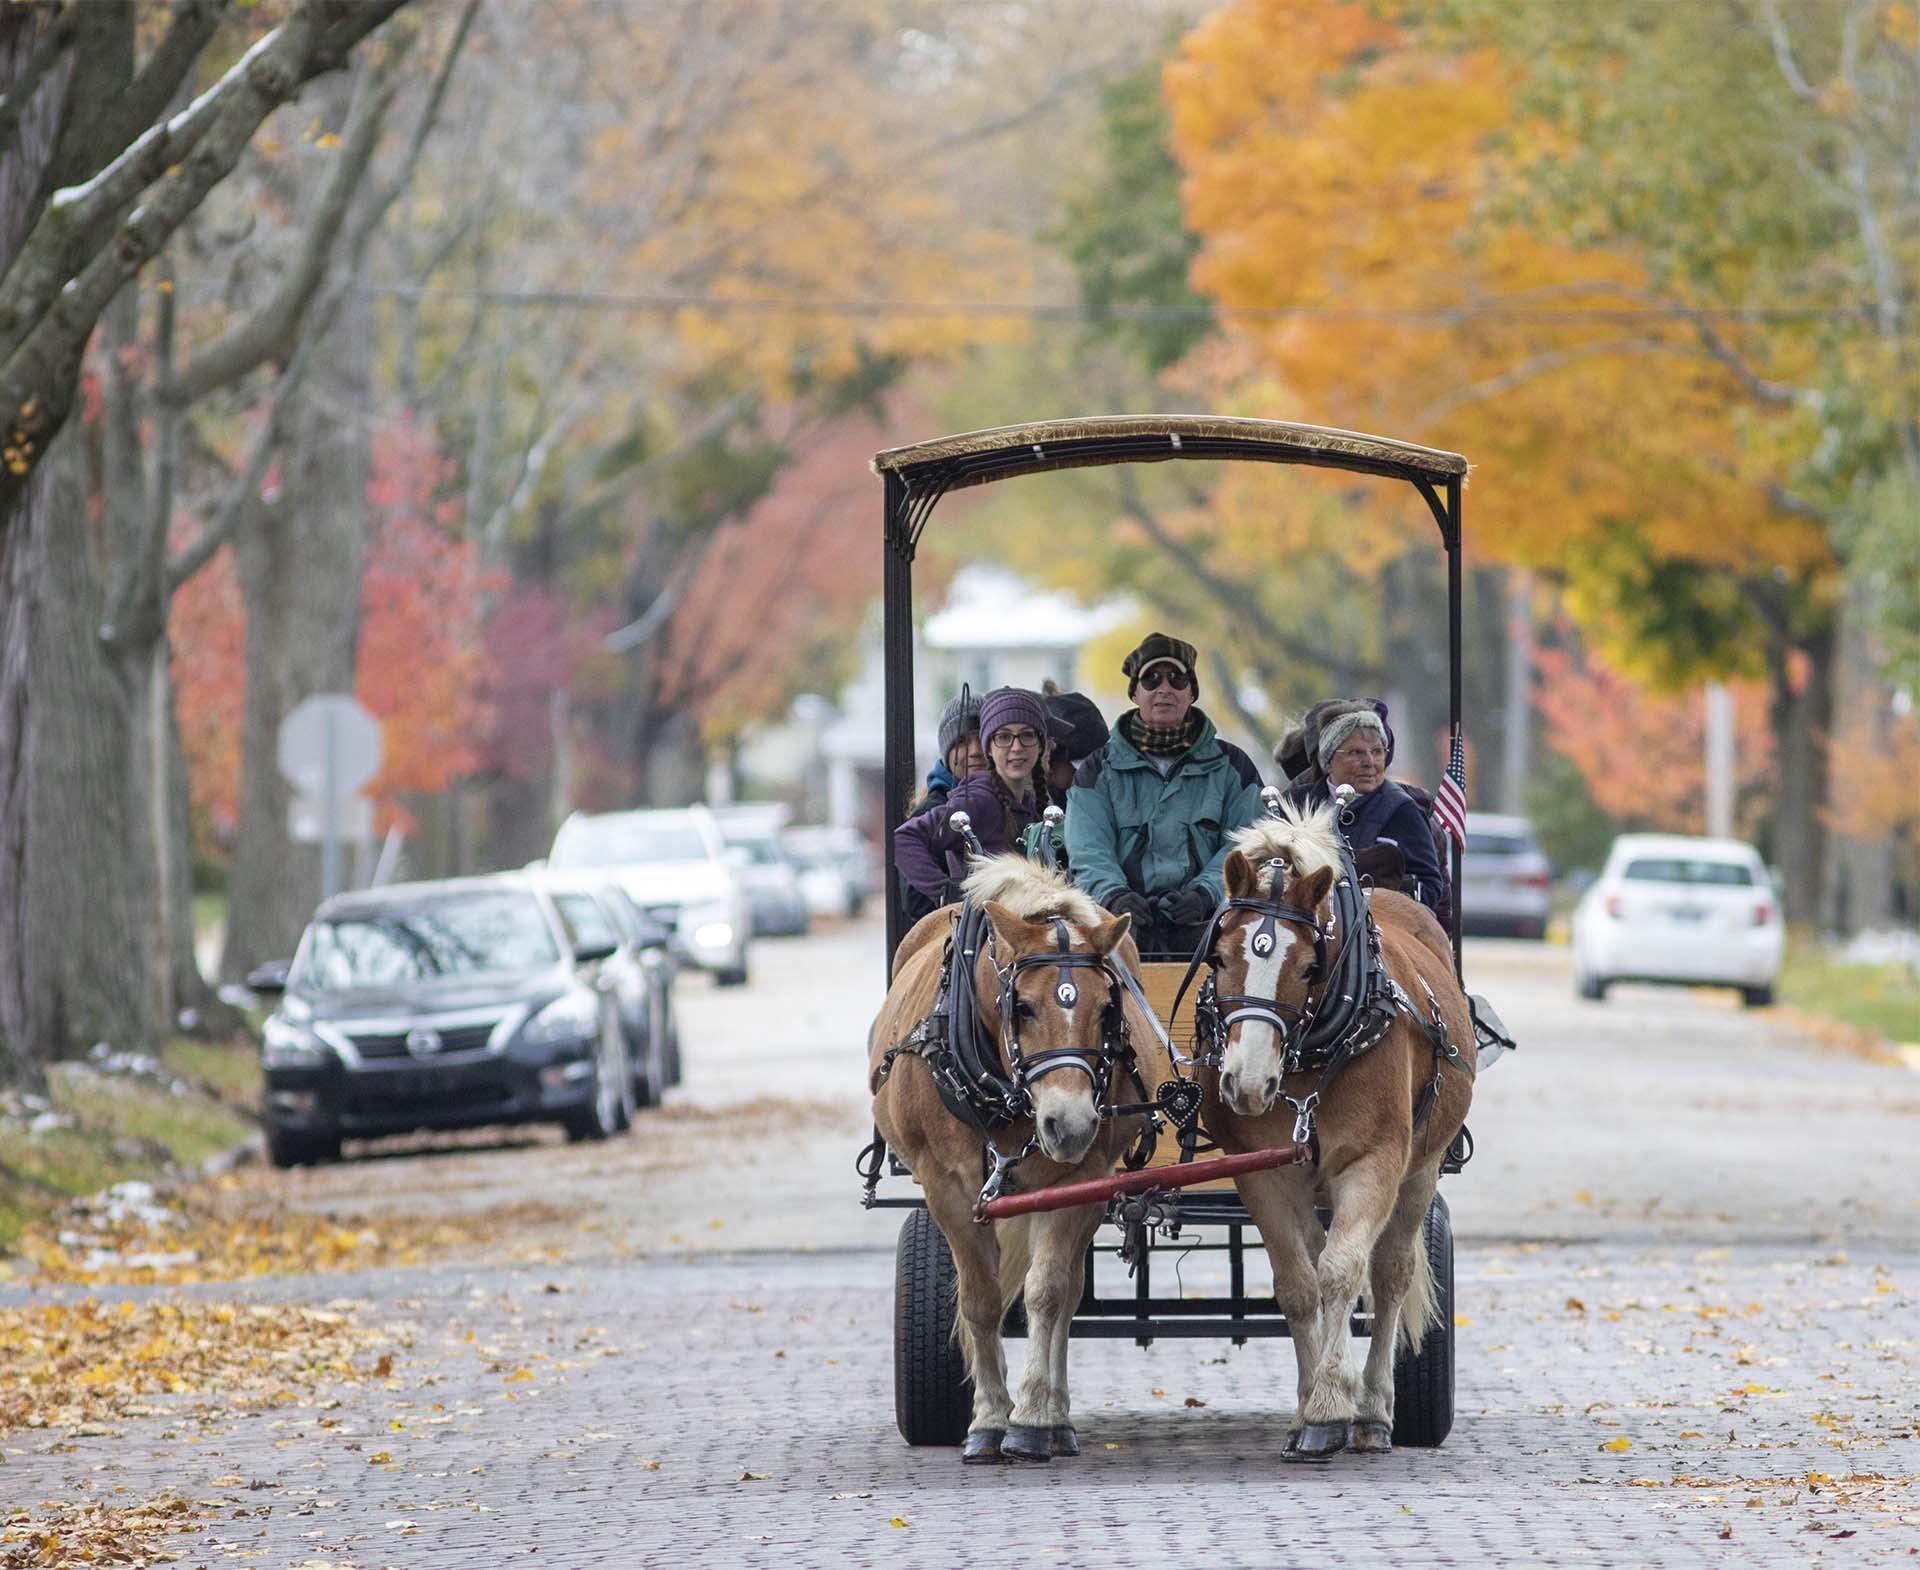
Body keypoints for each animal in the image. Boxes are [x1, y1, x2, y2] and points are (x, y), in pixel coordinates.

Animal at [875, 856, 1152, 1458]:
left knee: (1066, 1290)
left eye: (1107, 1008)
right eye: (1022, 1007)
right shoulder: (947, 1188)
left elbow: (1047, 1293)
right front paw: (988, 1420)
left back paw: (1056, 1416)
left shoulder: (1080, 1179)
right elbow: (979, 1300)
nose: (1070, 1124)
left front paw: (1031, 1418)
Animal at [1205, 806, 1474, 1458]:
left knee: (1391, 1273)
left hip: (1422, 1168)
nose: (1248, 1083)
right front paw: (1310, 1407)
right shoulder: (1264, 1174)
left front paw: (1332, 1403)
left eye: (1310, 966)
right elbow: (1300, 1282)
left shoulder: (1374, 1161)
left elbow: (1343, 1272)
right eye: (1219, 958)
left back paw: (1373, 1410)